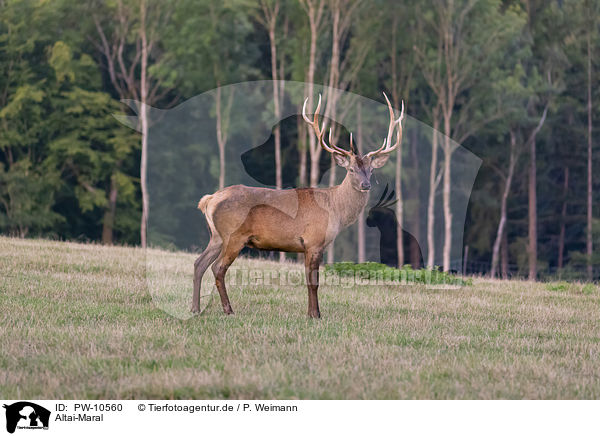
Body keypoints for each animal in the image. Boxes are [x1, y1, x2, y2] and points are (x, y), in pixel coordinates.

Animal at [192, 93, 404, 316]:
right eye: (351, 169)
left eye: (371, 170)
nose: (366, 185)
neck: (335, 210)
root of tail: (209, 200)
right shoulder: (313, 240)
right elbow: (314, 282)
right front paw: (316, 315)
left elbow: (309, 280)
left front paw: (311, 313)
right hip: (234, 236)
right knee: (217, 268)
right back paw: (228, 310)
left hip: (216, 236)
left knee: (199, 263)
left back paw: (195, 308)